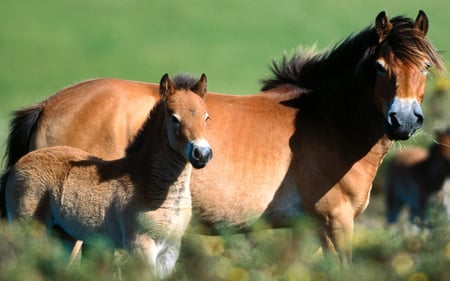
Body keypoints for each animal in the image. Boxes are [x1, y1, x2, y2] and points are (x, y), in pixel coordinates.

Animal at [3, 73, 212, 276]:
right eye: (174, 118)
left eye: (206, 117)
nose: (201, 153)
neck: (147, 183)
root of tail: (19, 164)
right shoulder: (140, 244)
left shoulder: (170, 250)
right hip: (30, 230)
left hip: (63, 235)